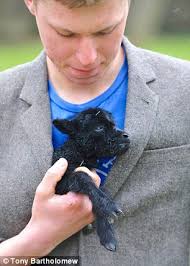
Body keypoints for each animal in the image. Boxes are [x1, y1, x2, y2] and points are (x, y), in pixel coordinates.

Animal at [52, 107, 130, 251]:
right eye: (99, 128)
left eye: (113, 124)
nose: (126, 136)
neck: (79, 153)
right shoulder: (62, 182)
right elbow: (83, 177)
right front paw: (109, 206)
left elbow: (103, 189)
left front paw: (107, 234)